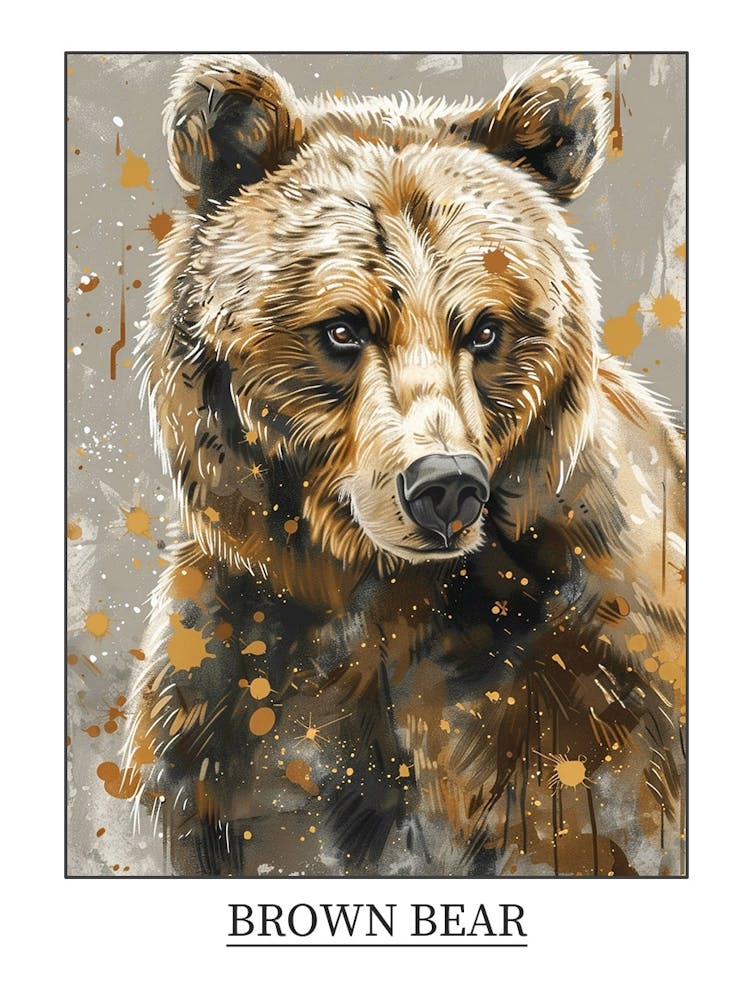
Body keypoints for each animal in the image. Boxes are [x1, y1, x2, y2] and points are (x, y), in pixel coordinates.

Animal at [125, 54, 686, 877]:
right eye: (343, 327)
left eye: (485, 329)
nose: (444, 486)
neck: (378, 595)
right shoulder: (233, 697)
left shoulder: (584, 700)